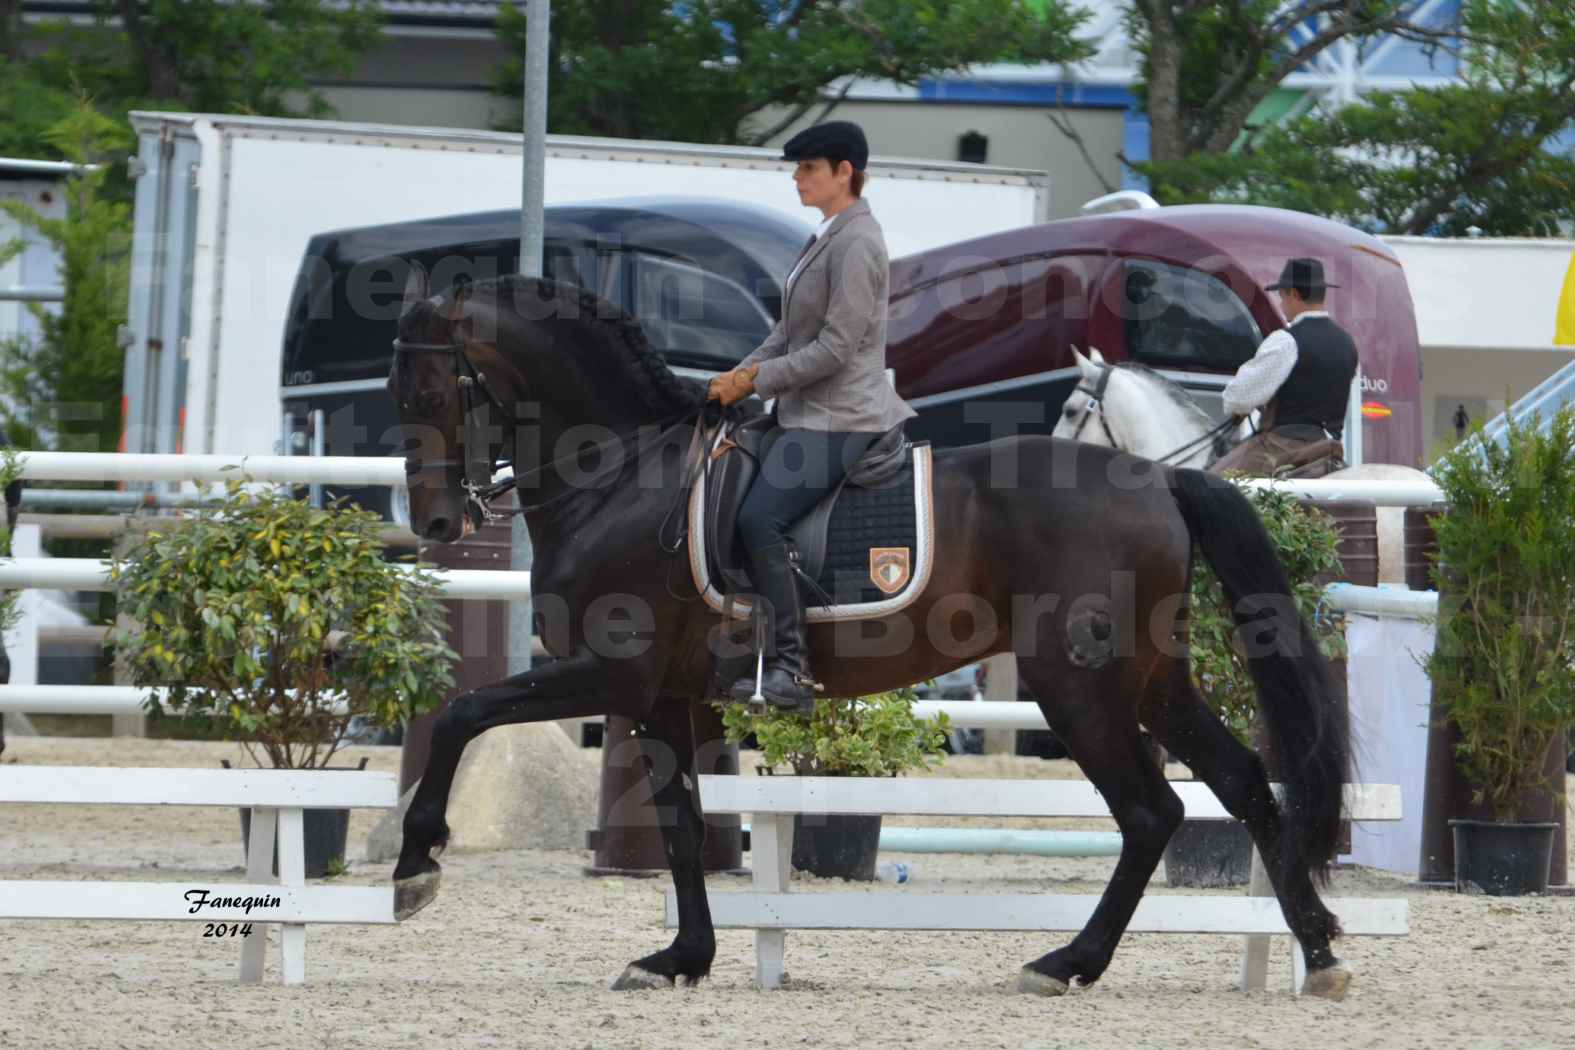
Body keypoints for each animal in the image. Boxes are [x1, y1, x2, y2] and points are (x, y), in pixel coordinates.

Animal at [390, 267, 1354, 1001]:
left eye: (431, 390)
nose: (436, 523)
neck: (622, 474)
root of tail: (1157, 479)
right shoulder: (661, 696)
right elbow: (679, 825)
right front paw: (681, 958)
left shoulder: (611, 675)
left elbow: (462, 714)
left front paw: (414, 868)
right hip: (1152, 681)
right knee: (1242, 782)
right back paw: (1318, 950)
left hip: (1077, 689)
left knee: (1152, 813)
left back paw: (1067, 963)